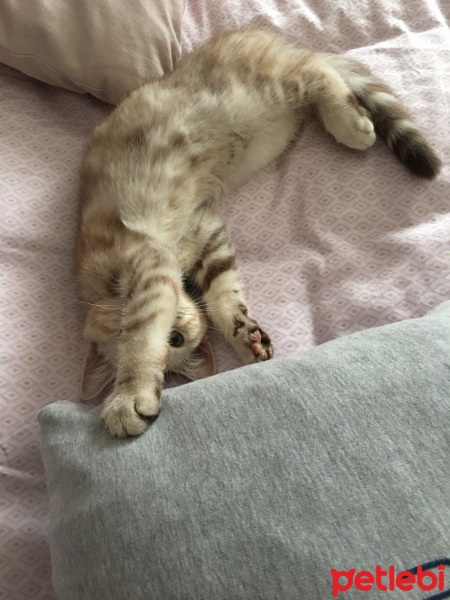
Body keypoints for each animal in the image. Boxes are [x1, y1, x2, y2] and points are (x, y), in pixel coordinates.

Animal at [75, 27, 442, 436]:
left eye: (174, 338)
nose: (184, 326)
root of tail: (268, 37)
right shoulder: (204, 229)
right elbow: (223, 290)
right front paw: (244, 336)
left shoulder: (148, 266)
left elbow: (142, 337)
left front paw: (128, 396)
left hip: (255, 87)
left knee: (315, 70)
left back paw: (351, 124)